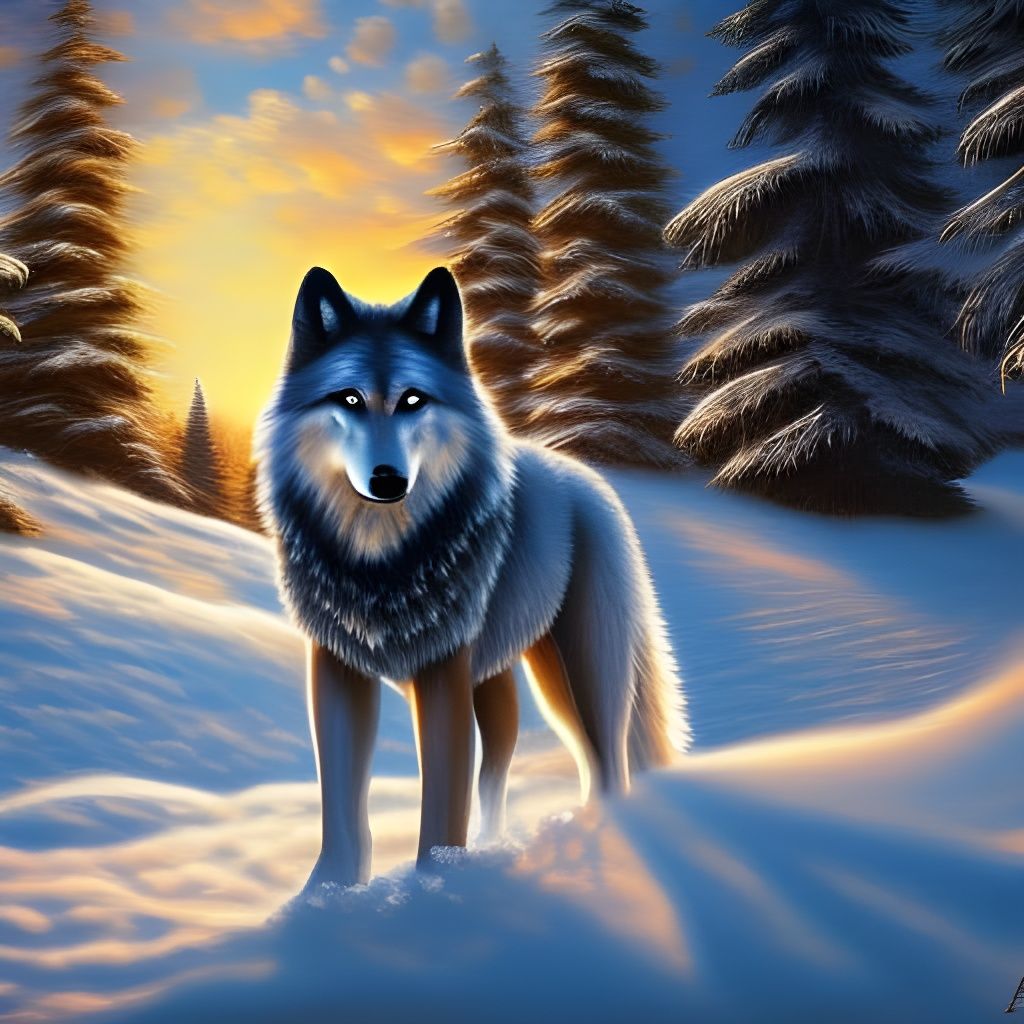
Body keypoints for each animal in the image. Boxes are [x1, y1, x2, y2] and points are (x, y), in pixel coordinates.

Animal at [255, 265, 689, 891]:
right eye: (350, 398)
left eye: (413, 399)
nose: (388, 480)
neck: (380, 565)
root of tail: (589, 479)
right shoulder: (338, 668)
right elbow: (340, 807)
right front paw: (325, 895)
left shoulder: (443, 675)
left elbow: (441, 802)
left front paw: (432, 891)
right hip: (504, 677)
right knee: (500, 761)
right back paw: (496, 843)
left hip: (581, 675)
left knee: (606, 762)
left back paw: (598, 845)